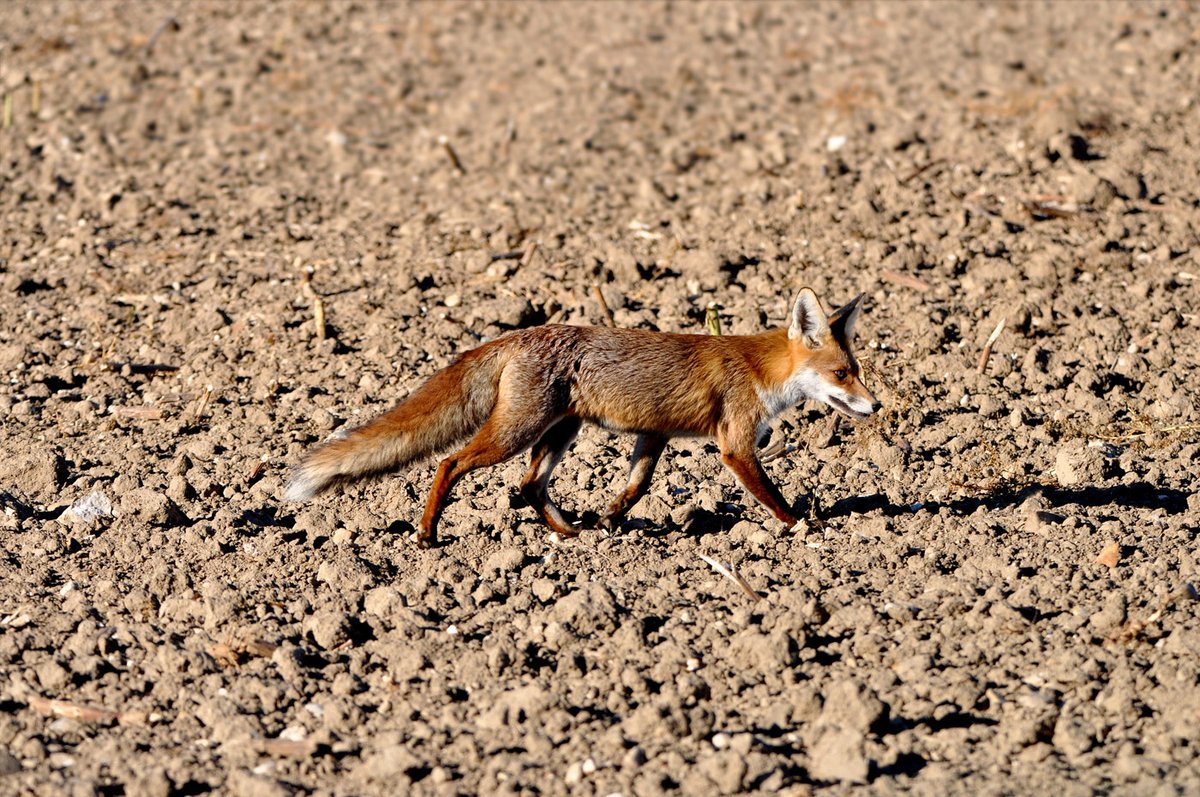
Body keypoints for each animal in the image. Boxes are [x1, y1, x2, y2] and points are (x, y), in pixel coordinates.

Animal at [285, 288, 880, 547]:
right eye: (841, 374)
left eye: (857, 371)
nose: (876, 405)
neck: (759, 369)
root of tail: (519, 333)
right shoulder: (735, 445)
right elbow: (774, 496)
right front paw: (804, 526)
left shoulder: (653, 434)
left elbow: (635, 488)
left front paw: (610, 521)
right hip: (514, 433)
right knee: (449, 464)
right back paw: (428, 533)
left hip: (558, 433)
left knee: (528, 485)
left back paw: (570, 532)